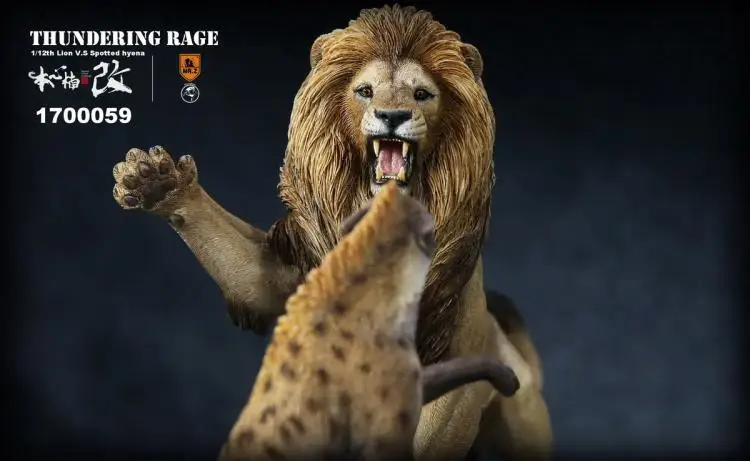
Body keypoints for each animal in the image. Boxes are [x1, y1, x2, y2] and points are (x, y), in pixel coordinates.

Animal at [111, 5, 553, 460]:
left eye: (421, 95)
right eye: (365, 91)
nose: (392, 116)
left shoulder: (455, 353)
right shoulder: (289, 277)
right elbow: (249, 276)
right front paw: (155, 182)